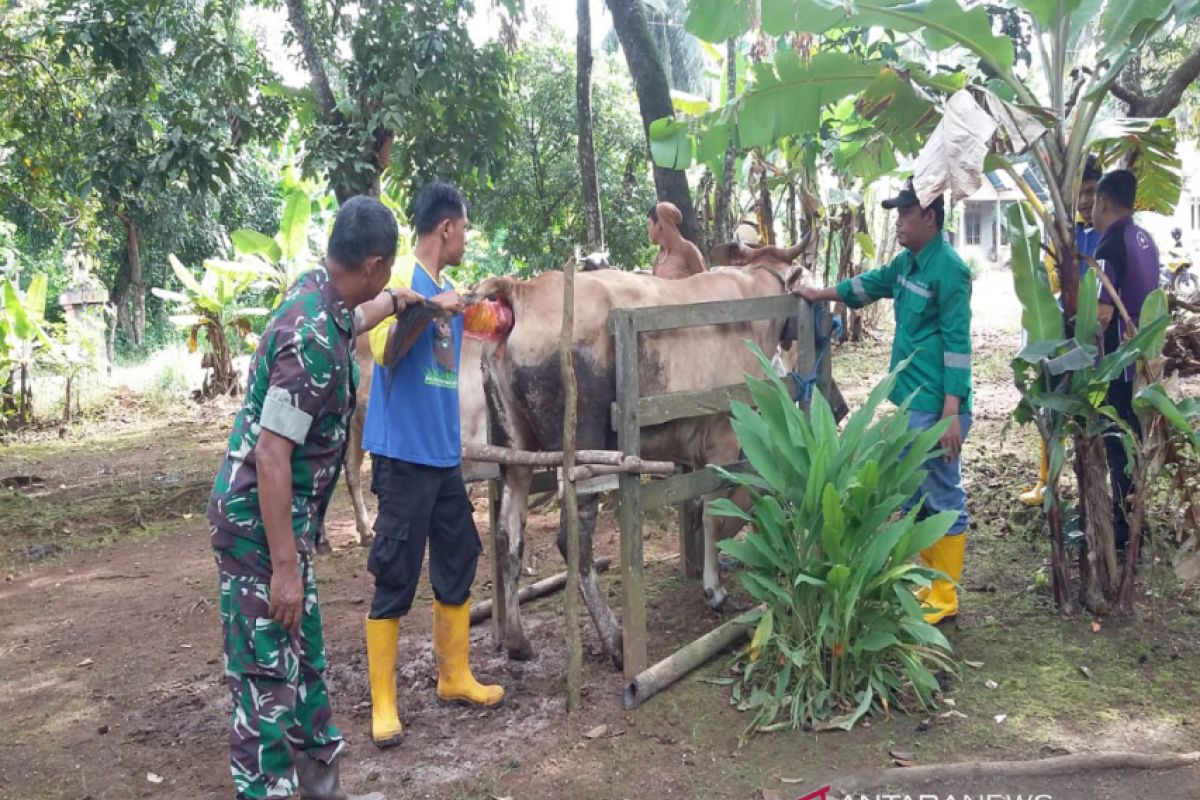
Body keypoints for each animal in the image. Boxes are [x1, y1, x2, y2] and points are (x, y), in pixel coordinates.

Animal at [472, 263, 801, 671]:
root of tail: (522, 290)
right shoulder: (723, 440)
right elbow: (712, 513)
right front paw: (714, 589)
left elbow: (701, 509)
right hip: (584, 451)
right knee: (573, 540)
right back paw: (614, 640)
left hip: (514, 450)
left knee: (509, 535)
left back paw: (518, 641)